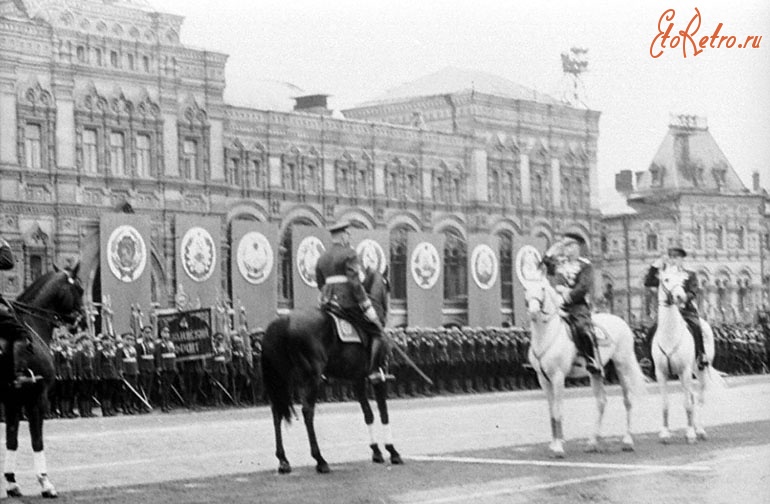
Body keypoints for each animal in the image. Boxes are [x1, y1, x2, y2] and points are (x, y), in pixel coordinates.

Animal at [0, 266, 85, 498]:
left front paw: (11, 483)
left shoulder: (12, 401)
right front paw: (45, 483)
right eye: (80, 289)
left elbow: (12, 439)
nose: (82, 321)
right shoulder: (37, 397)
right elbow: (37, 440)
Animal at [260, 308, 402, 476]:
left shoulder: (358, 380)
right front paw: (392, 451)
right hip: (311, 378)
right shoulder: (378, 378)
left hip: (283, 381)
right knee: (307, 412)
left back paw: (283, 461)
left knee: (277, 413)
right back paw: (320, 460)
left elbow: (368, 414)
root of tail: (283, 321)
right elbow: (384, 413)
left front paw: (376, 451)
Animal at [524, 276, 644, 456]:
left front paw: (558, 448)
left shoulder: (558, 377)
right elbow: (551, 411)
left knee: (627, 400)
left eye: (543, 288)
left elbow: (558, 411)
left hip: (622, 366)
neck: (547, 334)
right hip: (595, 372)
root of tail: (621, 321)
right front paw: (554, 444)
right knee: (601, 402)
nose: (532, 311)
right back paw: (593, 442)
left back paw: (627, 441)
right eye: (526, 289)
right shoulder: (543, 380)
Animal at [652, 266, 716, 442]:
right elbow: (665, 404)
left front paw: (690, 433)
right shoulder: (661, 374)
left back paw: (699, 430)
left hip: (699, 371)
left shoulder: (686, 371)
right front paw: (665, 433)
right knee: (692, 397)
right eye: (666, 279)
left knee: (698, 398)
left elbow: (687, 403)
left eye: (683, 280)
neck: (669, 334)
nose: (679, 296)